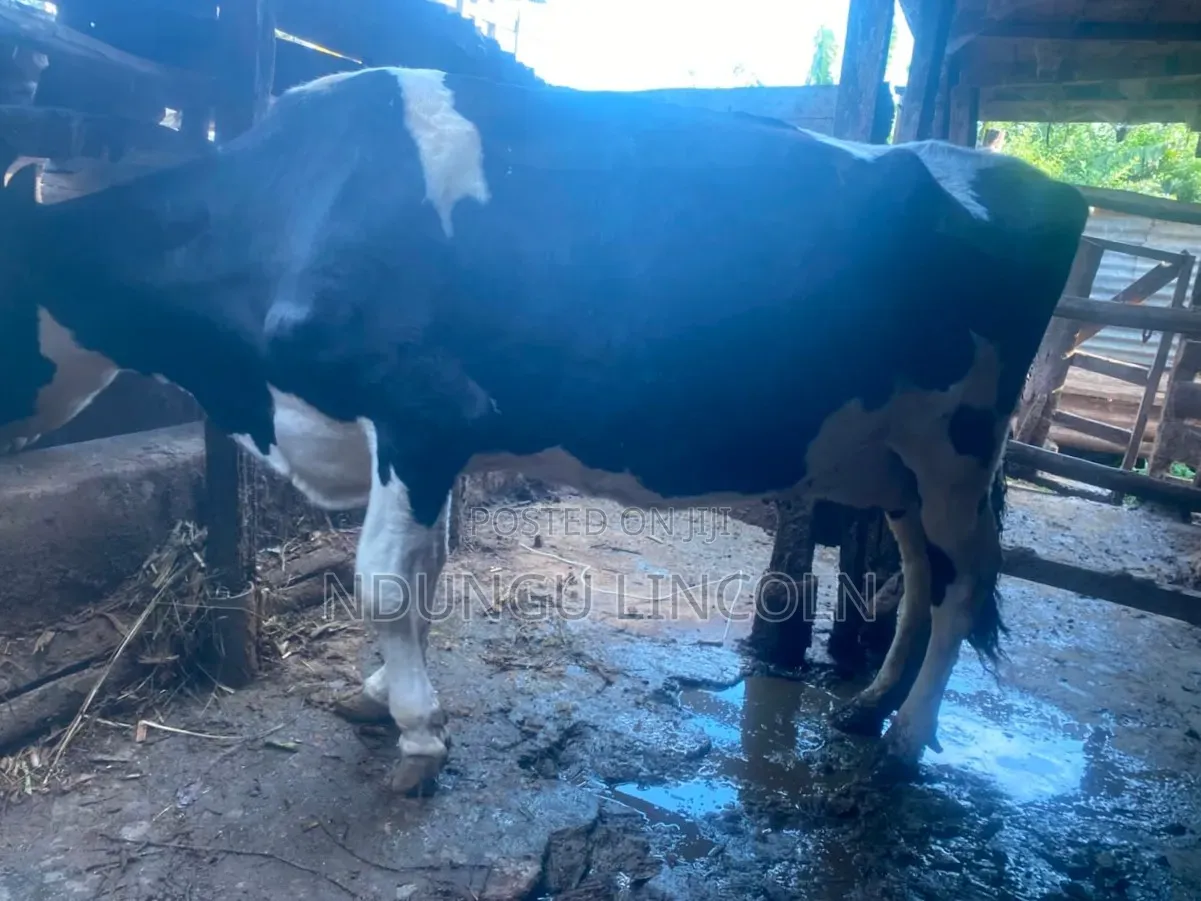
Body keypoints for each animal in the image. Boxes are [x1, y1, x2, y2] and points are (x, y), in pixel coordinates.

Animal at [0, 65, 1090, 793]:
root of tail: (1029, 176)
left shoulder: (428, 410)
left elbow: (385, 576)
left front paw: (417, 734)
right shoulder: (415, 439)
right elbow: (424, 570)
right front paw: (383, 694)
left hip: (959, 442)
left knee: (961, 584)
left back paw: (906, 741)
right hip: (894, 451)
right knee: (918, 573)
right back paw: (867, 707)